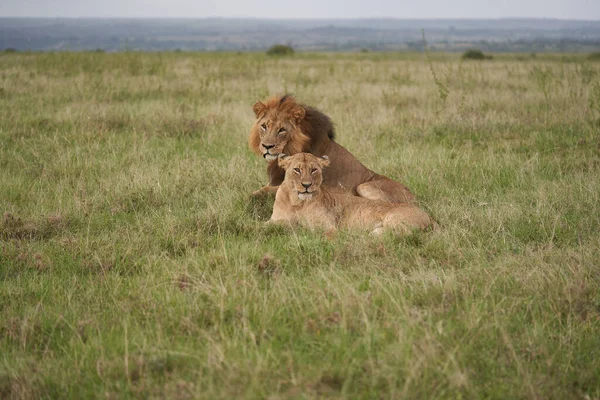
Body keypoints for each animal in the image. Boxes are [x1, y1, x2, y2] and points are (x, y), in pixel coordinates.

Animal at [248, 94, 412, 203]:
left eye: (282, 130)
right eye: (264, 126)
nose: (267, 146)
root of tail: (414, 198)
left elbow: (261, 193)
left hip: (365, 186)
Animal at [270, 153, 434, 234]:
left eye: (314, 170)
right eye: (297, 170)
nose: (306, 185)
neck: (297, 201)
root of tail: (430, 217)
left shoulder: (328, 226)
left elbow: (324, 235)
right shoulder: (274, 220)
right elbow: (267, 226)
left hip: (393, 217)